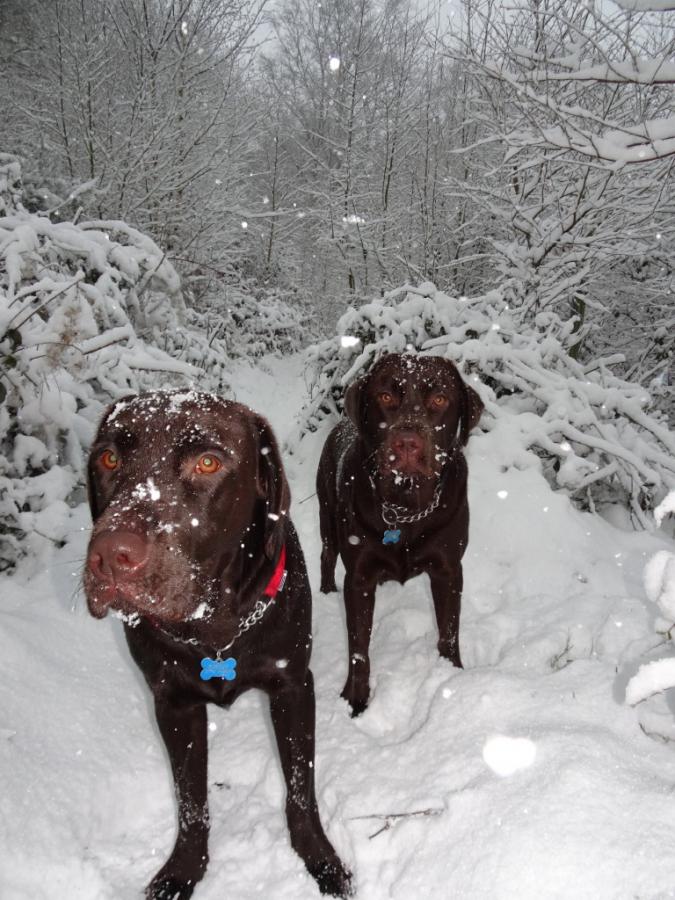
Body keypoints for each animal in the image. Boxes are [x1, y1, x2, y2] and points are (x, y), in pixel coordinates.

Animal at [83, 390, 352, 899]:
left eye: (207, 462)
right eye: (108, 458)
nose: (109, 556)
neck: (214, 632)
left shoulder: (292, 685)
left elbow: (300, 785)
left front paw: (319, 858)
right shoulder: (172, 703)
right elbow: (190, 800)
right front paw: (183, 870)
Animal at [316, 353, 483, 716]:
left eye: (440, 399)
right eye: (385, 396)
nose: (407, 442)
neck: (405, 508)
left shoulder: (450, 569)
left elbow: (449, 630)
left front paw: (451, 676)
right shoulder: (359, 576)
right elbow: (358, 647)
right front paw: (355, 699)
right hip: (327, 517)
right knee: (326, 556)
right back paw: (325, 591)